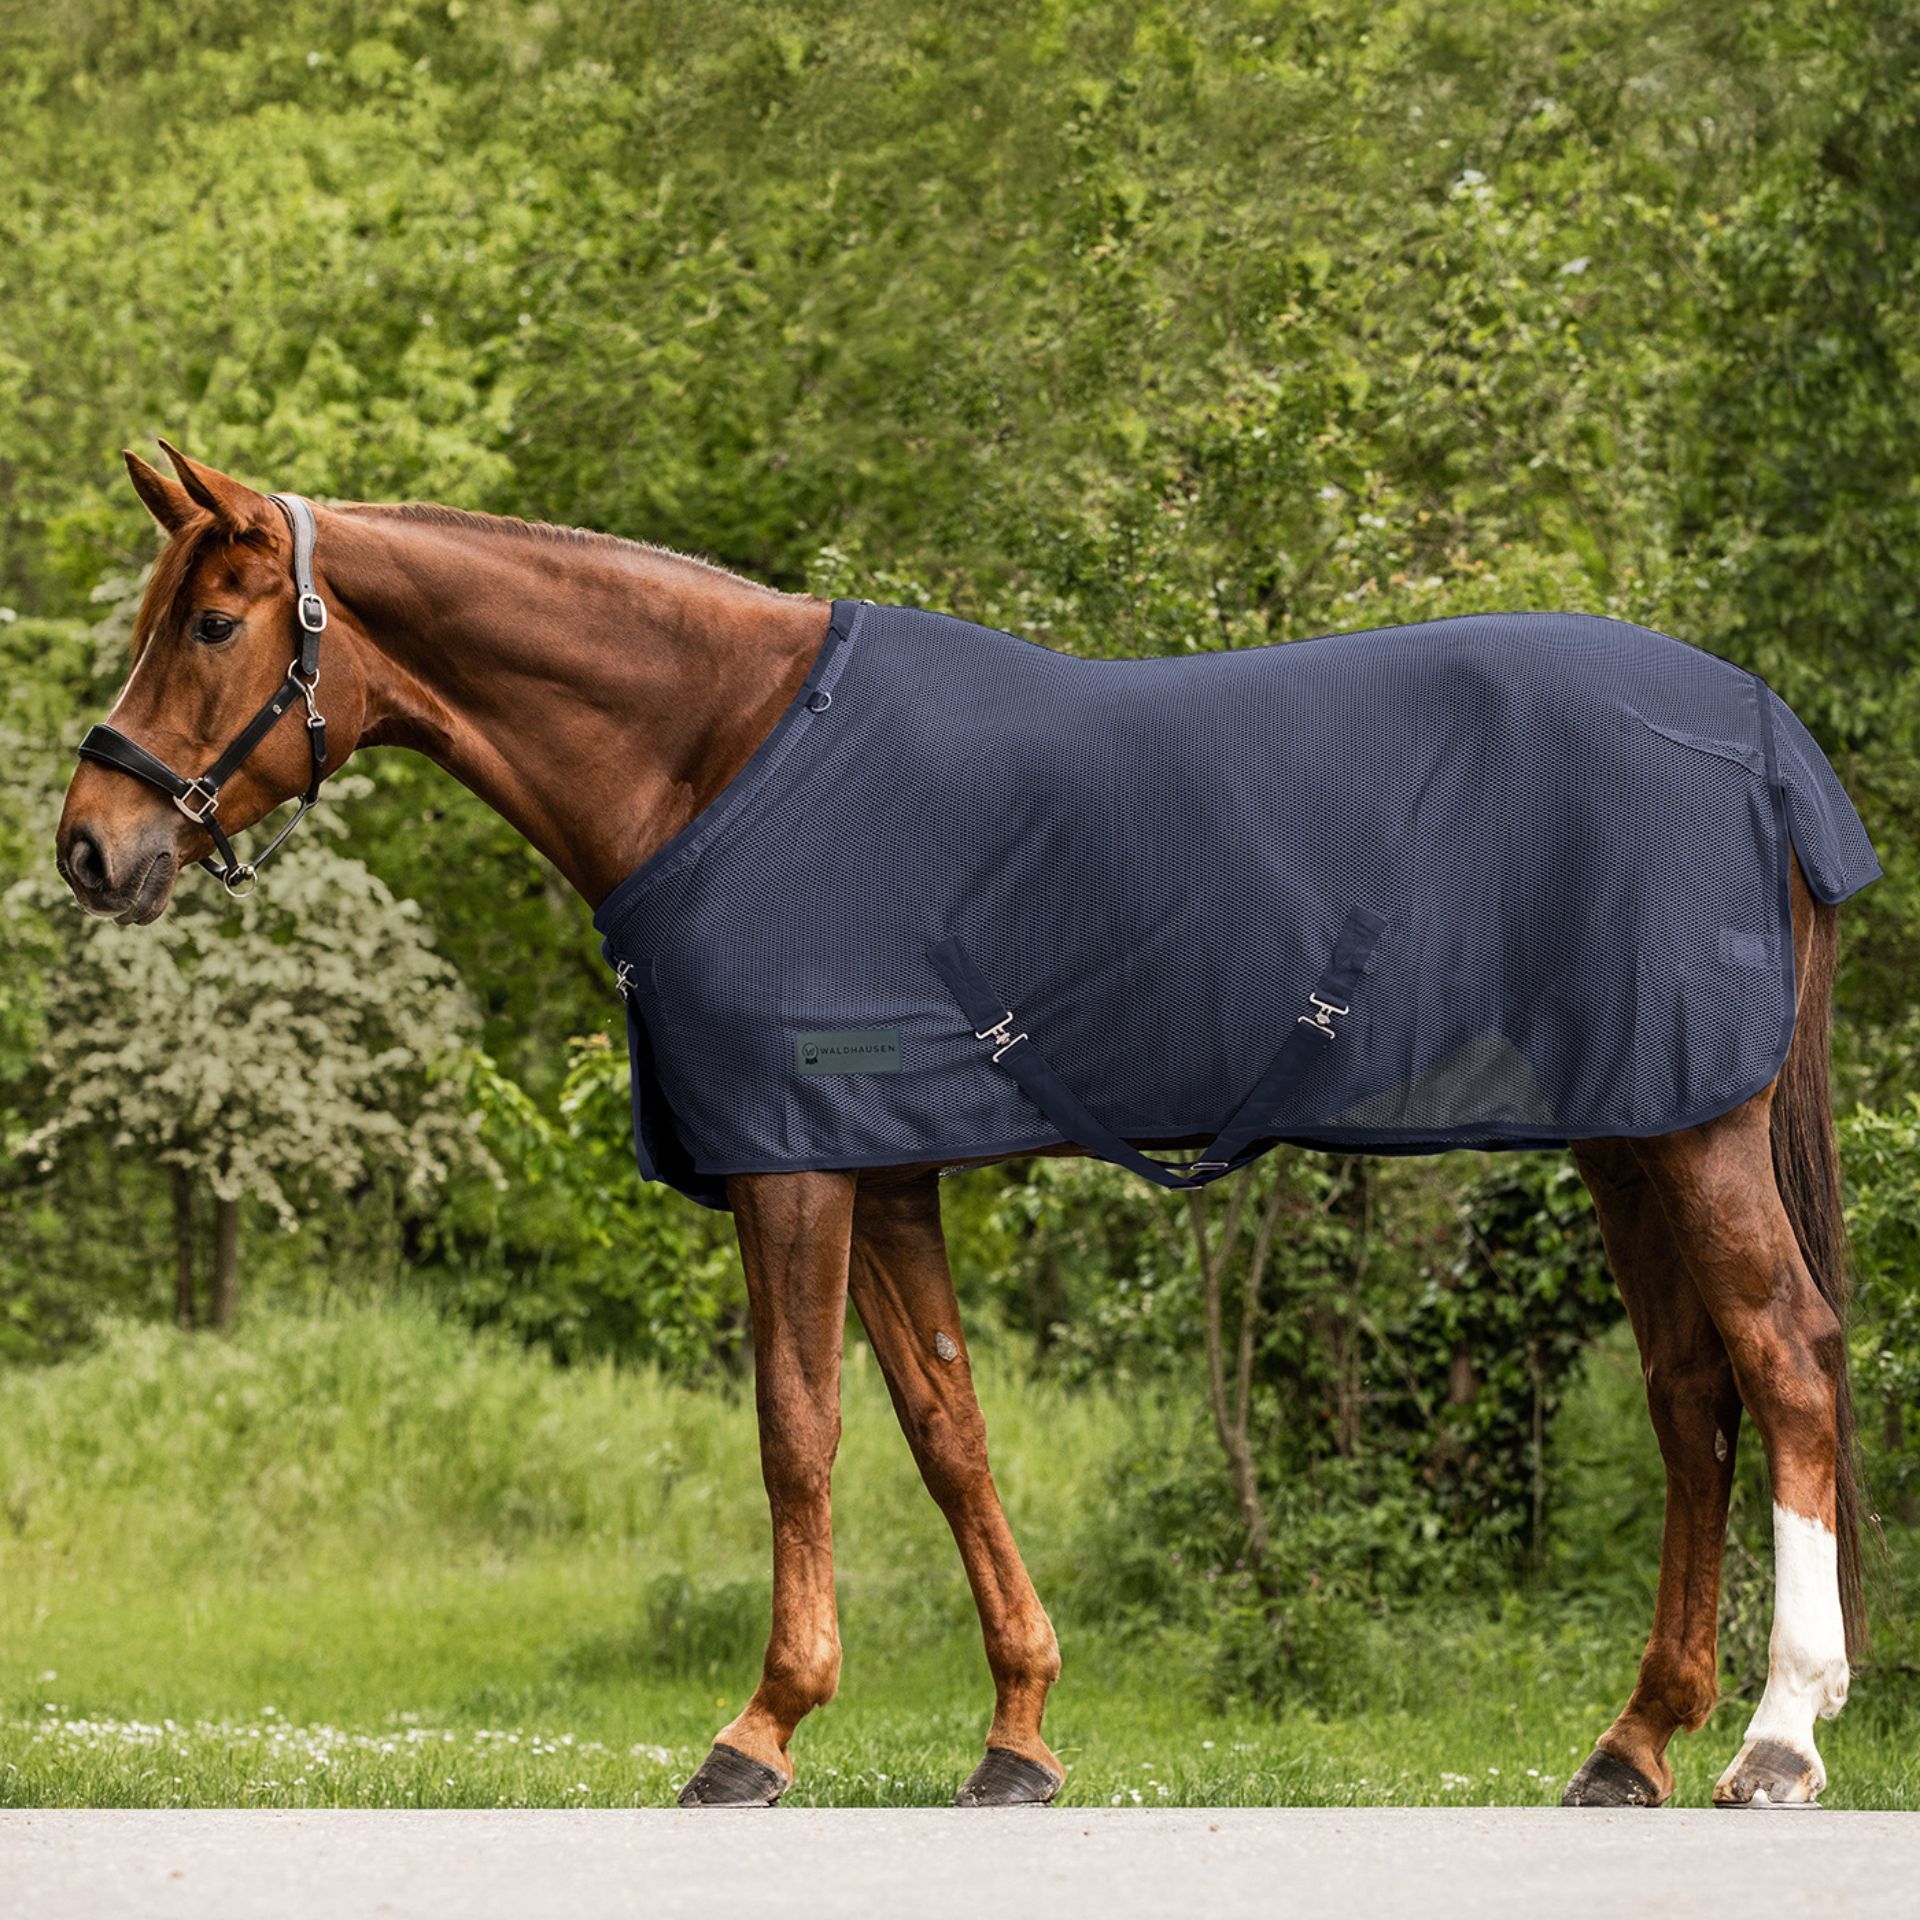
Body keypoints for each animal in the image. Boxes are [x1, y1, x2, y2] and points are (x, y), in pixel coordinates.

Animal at [56, 442, 1868, 1812]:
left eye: (211, 620)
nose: (88, 845)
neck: (721, 753)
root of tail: (1764, 737)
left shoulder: (795, 1164)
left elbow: (798, 1430)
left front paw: (761, 1730)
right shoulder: (890, 1170)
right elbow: (947, 1430)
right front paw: (1017, 1735)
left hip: (1694, 1133)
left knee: (1784, 1359)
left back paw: (1778, 1737)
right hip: (1632, 1130)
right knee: (1689, 1394)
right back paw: (1634, 1743)